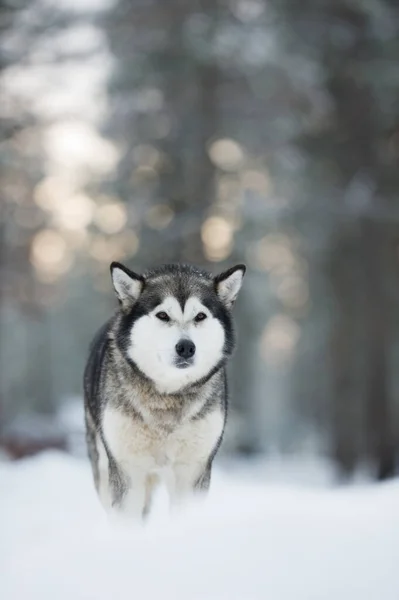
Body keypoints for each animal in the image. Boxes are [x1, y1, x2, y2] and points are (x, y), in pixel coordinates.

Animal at [84, 262, 245, 520]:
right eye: (162, 315)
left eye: (200, 316)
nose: (186, 347)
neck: (168, 397)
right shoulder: (127, 469)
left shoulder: (192, 470)